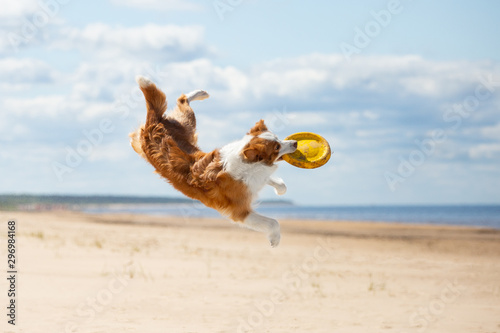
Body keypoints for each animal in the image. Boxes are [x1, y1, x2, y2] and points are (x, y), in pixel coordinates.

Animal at [129, 76, 296, 246]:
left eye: (278, 138)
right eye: (277, 147)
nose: (295, 143)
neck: (248, 164)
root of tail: (154, 122)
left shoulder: (257, 179)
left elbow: (277, 183)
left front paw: (280, 189)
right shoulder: (240, 210)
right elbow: (273, 222)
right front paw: (275, 239)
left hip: (183, 127)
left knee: (182, 102)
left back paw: (200, 93)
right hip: (187, 124)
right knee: (182, 101)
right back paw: (199, 93)